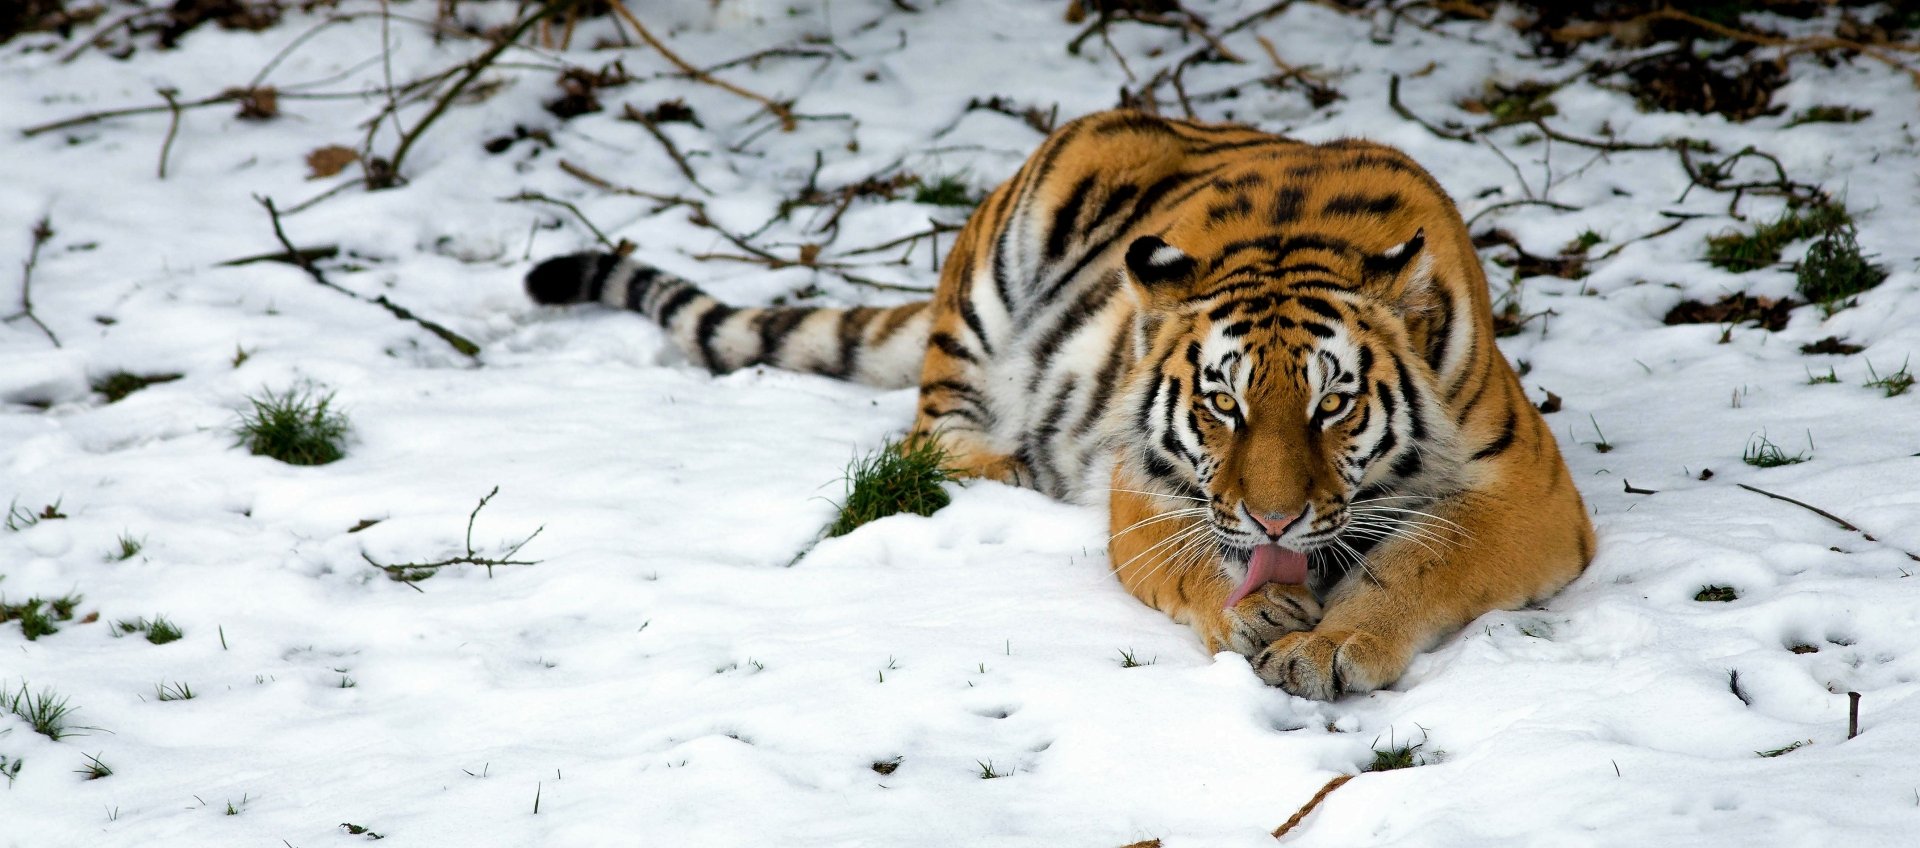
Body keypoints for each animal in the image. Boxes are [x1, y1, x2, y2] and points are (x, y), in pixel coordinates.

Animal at [524, 109, 1595, 700]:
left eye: (1332, 407)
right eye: (1223, 403)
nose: (1274, 519)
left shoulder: (1529, 495)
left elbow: (1417, 560)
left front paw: (1329, 647)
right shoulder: (1143, 486)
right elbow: (1192, 563)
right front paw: (1256, 613)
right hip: (998, 272)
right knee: (927, 441)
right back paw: (1011, 467)